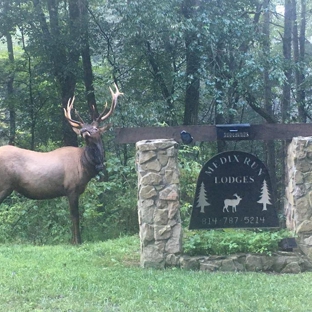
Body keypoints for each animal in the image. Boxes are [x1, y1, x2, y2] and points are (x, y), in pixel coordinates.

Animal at [0, 84, 123, 244]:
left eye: (95, 128)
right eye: (83, 127)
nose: (83, 131)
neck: (85, 166)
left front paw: (74, 240)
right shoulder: (71, 188)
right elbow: (75, 216)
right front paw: (77, 241)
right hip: (4, 184)